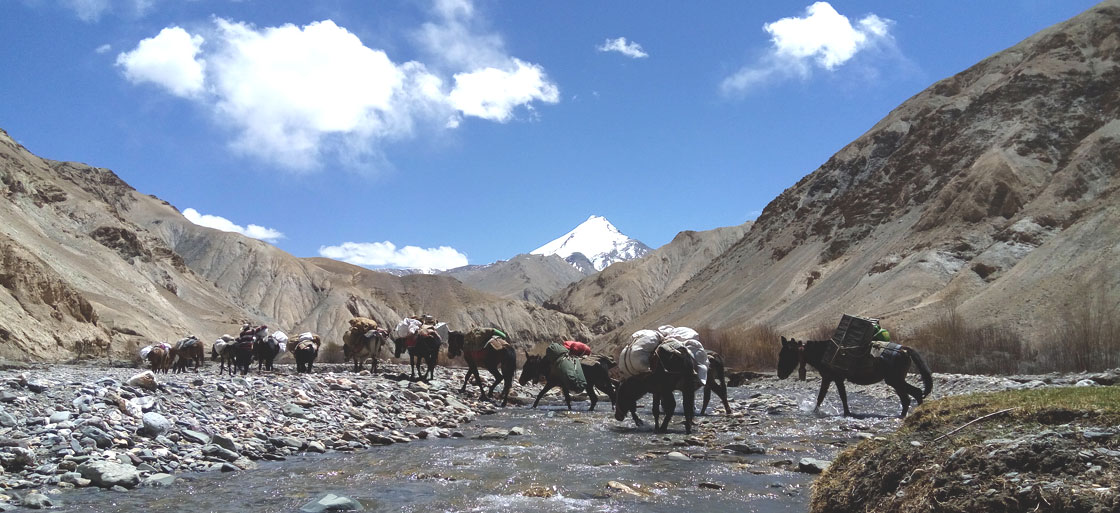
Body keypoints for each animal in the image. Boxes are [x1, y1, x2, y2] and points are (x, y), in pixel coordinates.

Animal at [775, 336, 931, 416]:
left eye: (785, 354)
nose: (780, 374)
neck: (823, 352)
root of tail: (905, 349)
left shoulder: (834, 379)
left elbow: (837, 397)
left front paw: (845, 413)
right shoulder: (830, 379)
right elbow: (825, 397)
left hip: (895, 380)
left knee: (912, 396)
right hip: (896, 381)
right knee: (911, 396)